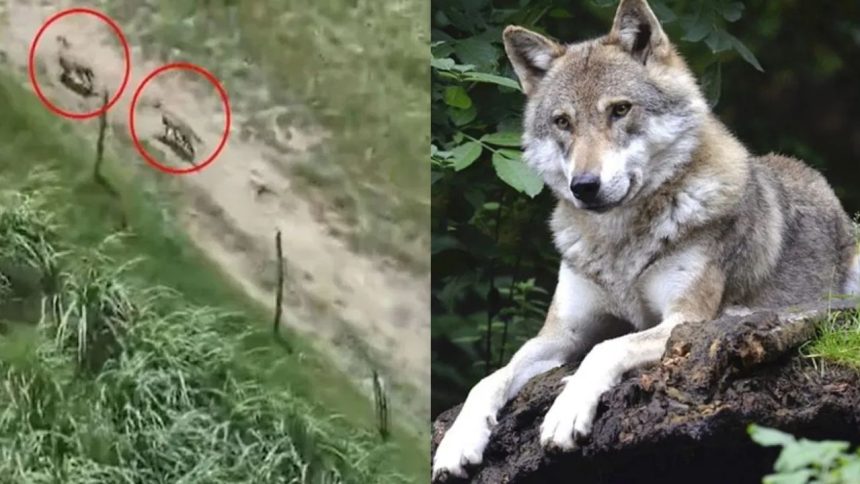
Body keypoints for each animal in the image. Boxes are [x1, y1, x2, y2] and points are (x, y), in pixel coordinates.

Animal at [432, 0, 860, 479]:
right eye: (563, 122)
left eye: (620, 110)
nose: (584, 186)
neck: (620, 244)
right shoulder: (560, 333)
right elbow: (490, 378)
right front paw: (457, 442)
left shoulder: (683, 320)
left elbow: (605, 348)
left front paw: (566, 411)